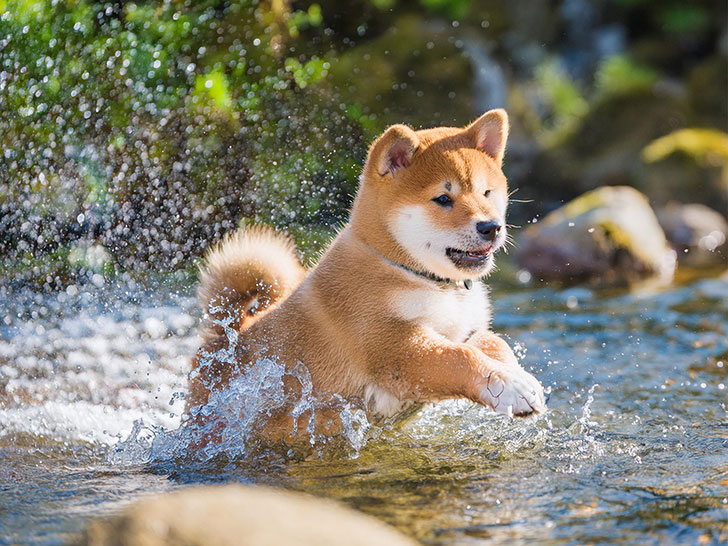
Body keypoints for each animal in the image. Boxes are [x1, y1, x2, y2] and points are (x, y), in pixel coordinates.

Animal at [188, 109, 544, 442]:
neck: (414, 274)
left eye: (486, 193)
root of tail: (223, 336)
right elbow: (459, 357)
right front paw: (510, 386)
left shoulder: (461, 330)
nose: (491, 227)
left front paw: (516, 376)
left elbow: (492, 342)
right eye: (443, 199)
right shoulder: (393, 346)